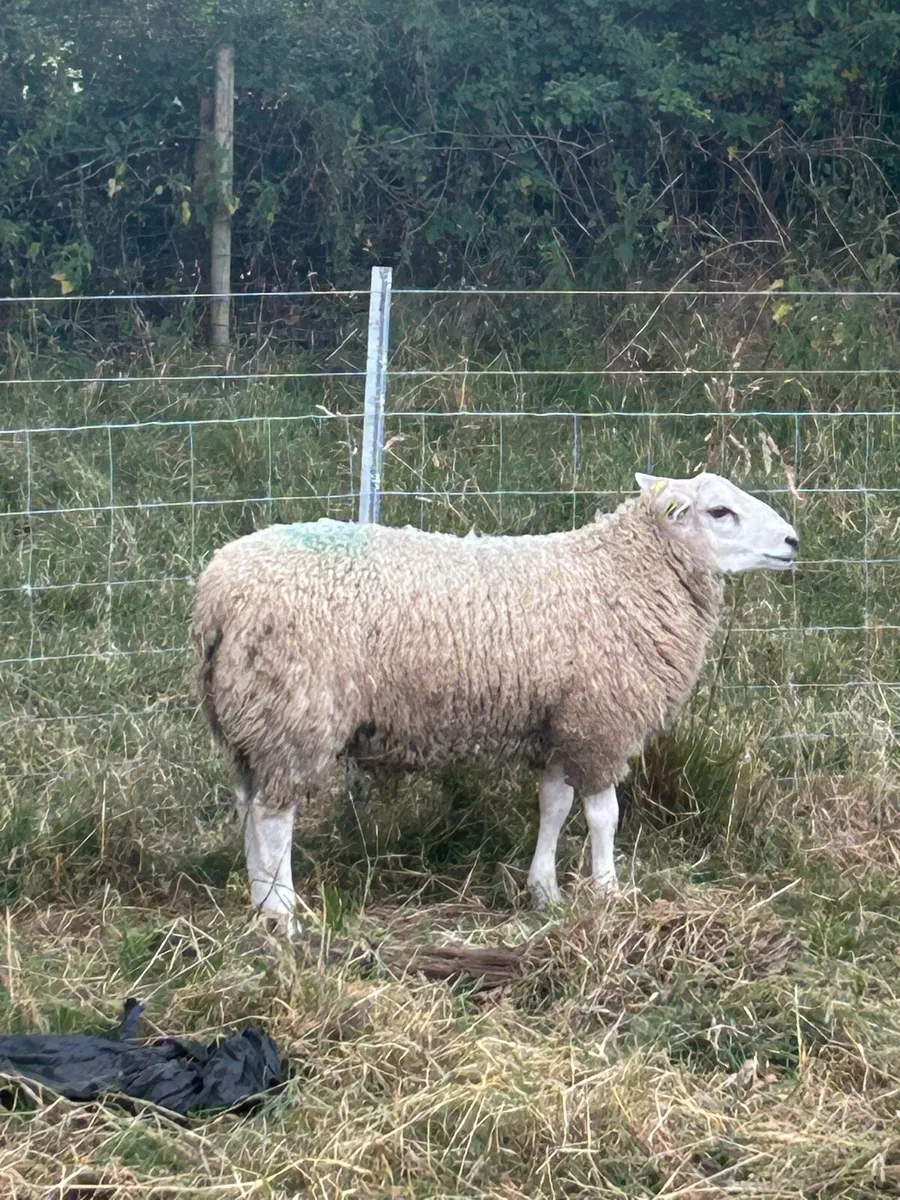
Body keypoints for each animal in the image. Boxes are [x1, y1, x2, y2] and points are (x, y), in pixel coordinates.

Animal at [192, 470, 799, 934]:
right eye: (720, 511)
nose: (794, 541)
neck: (622, 575)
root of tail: (216, 592)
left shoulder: (559, 722)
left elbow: (553, 805)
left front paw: (545, 891)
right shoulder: (600, 720)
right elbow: (604, 815)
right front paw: (608, 893)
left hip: (247, 717)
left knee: (249, 808)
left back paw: (259, 905)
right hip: (294, 710)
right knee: (274, 818)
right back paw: (284, 915)